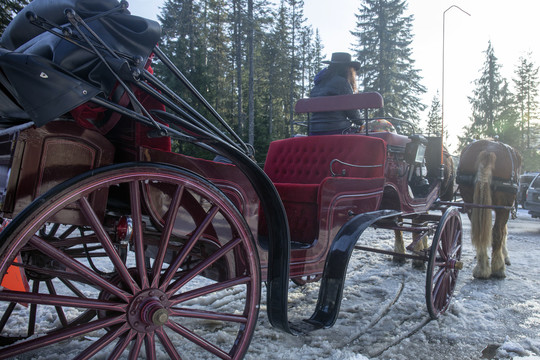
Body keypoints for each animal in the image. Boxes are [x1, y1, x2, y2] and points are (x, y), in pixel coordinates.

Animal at [458, 140, 520, 278]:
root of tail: (487, 151)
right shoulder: (504, 207)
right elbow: (503, 232)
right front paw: (505, 257)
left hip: (471, 203)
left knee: (480, 233)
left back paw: (481, 267)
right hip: (503, 206)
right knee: (497, 232)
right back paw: (498, 268)